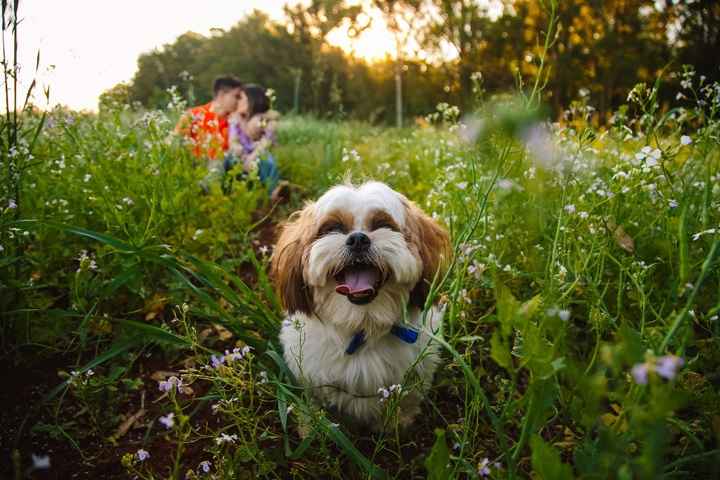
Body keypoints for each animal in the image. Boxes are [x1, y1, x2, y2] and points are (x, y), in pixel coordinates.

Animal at [272, 181, 450, 428]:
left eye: (383, 224)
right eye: (332, 228)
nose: (358, 239)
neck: (362, 323)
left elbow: (407, 401)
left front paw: (398, 423)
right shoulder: (310, 377)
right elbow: (313, 403)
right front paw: (312, 426)